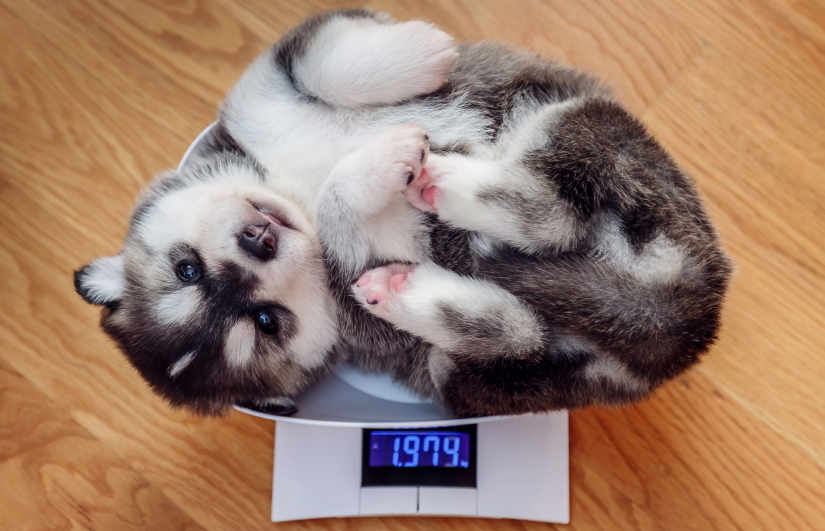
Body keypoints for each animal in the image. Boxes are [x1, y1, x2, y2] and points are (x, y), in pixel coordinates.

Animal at [74, 9, 732, 420]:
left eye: (186, 268)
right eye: (266, 322)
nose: (258, 240)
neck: (288, 183)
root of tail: (686, 316)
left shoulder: (273, 73)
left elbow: (321, 64)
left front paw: (425, 51)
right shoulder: (363, 295)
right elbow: (339, 209)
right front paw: (374, 167)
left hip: (578, 119)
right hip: (466, 379)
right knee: (530, 285)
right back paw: (425, 243)